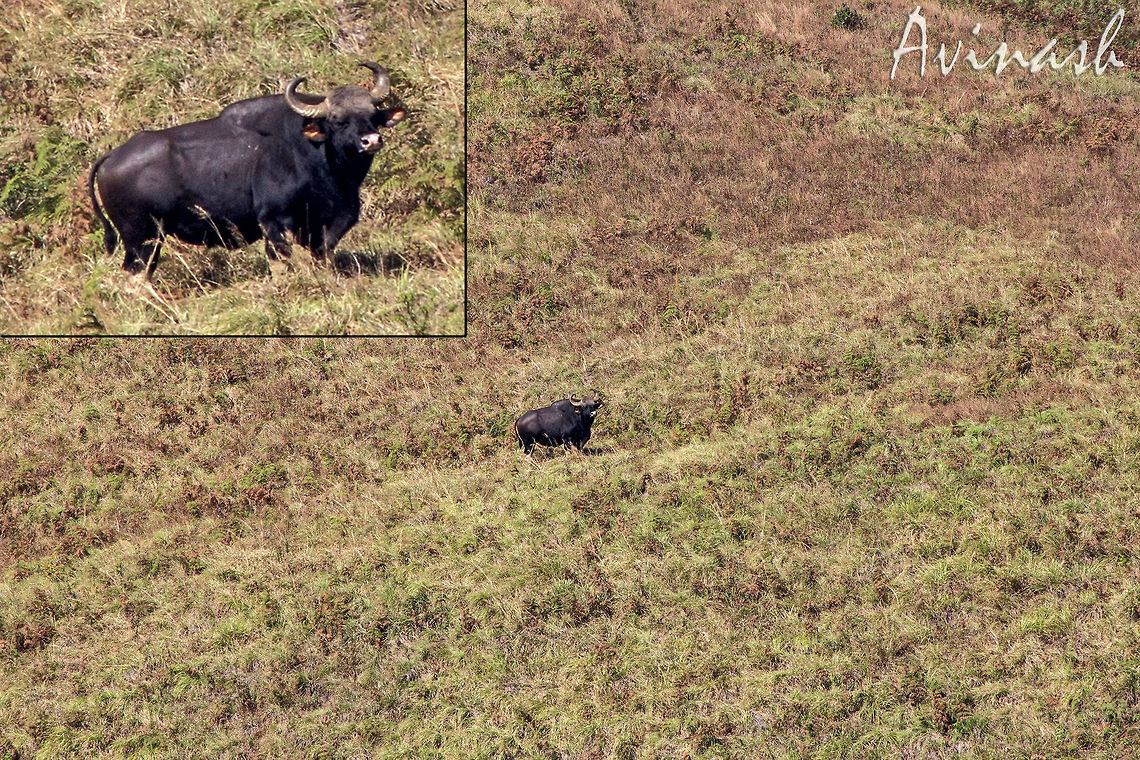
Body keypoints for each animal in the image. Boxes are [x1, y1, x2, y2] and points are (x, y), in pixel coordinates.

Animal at [88, 62, 406, 279]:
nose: (371, 140)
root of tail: (112, 156)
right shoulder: (274, 222)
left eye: (373, 115)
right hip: (142, 240)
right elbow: (280, 262)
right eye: (338, 120)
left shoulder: (326, 224)